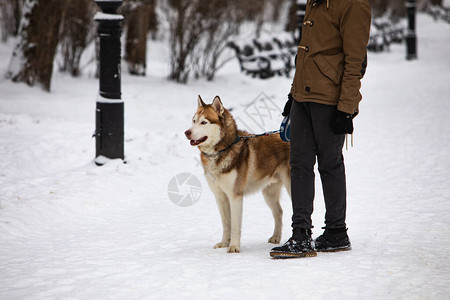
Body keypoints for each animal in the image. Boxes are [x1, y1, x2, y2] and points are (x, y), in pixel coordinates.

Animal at [184, 95, 292, 253]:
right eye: (194, 120)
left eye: (204, 122)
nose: (187, 132)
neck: (222, 149)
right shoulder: (220, 196)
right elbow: (226, 223)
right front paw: (224, 243)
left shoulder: (235, 196)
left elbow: (235, 226)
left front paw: (234, 247)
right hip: (268, 193)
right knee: (278, 212)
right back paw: (276, 237)